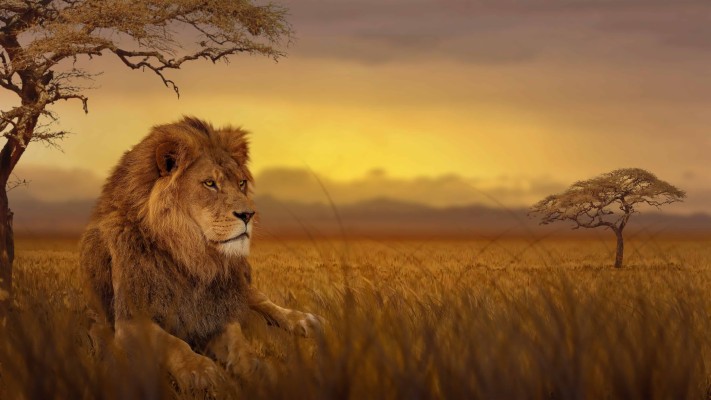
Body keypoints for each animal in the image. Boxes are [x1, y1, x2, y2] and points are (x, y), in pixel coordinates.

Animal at [79, 117, 321, 388]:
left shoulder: (217, 308)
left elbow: (239, 343)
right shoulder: (130, 318)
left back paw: (302, 320)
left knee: (260, 300)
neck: (192, 257)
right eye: (210, 183)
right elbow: (172, 343)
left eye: (241, 183)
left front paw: (257, 367)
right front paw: (200, 371)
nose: (249, 215)